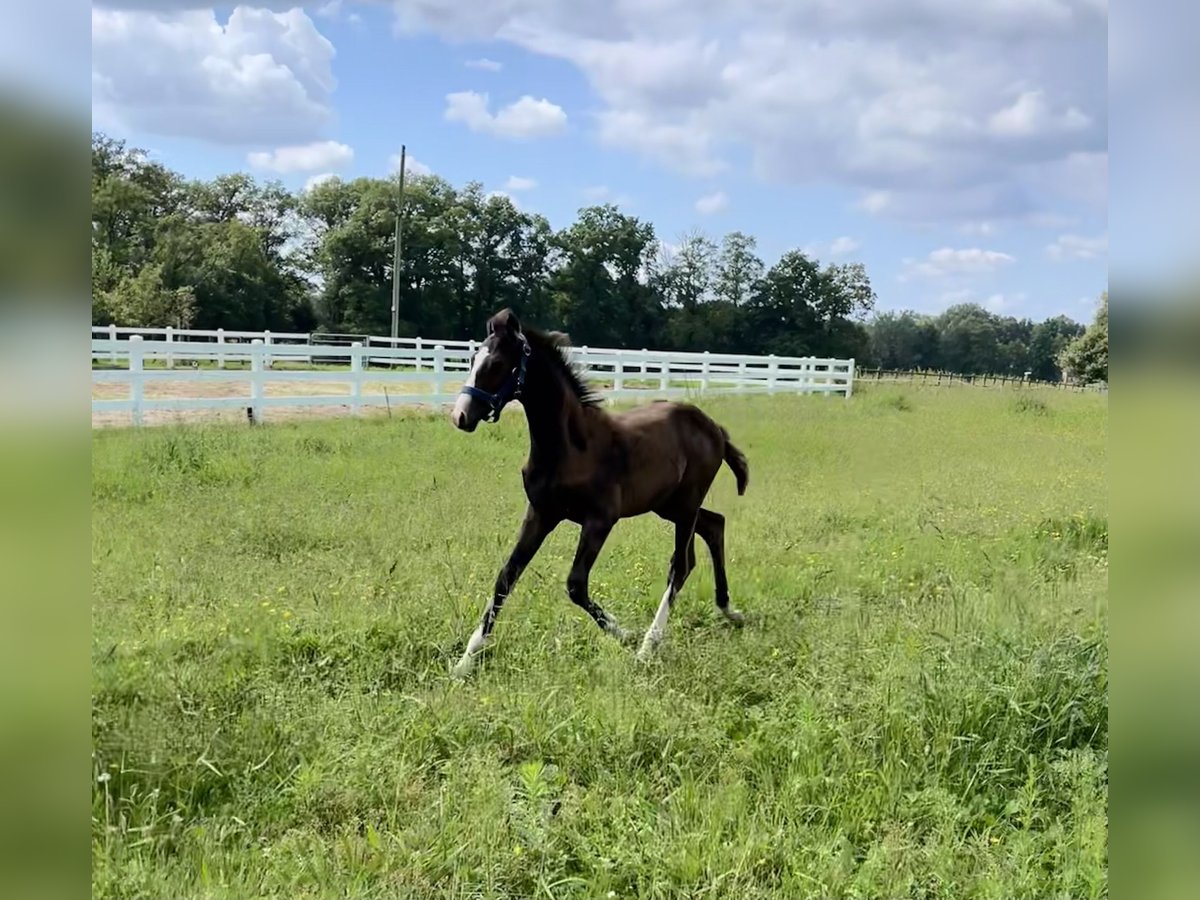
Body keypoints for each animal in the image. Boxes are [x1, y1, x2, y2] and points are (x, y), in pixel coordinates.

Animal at [451, 309, 748, 676]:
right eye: (472, 359)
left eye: (496, 364)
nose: (460, 415)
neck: (570, 448)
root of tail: (713, 427)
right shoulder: (541, 513)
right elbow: (506, 577)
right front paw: (466, 659)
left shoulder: (600, 520)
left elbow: (576, 585)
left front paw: (625, 634)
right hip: (668, 504)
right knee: (714, 526)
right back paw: (730, 611)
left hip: (686, 503)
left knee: (681, 564)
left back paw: (648, 646)